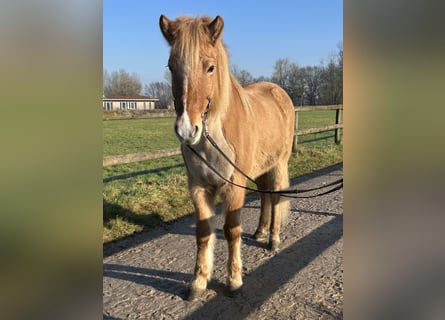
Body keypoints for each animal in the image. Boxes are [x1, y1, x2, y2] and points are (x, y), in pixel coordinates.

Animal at [160, 15, 294, 300]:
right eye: (171, 67)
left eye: (210, 68)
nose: (187, 130)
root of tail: (278, 91)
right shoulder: (199, 188)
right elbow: (203, 233)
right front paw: (198, 283)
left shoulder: (233, 187)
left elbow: (231, 231)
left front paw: (234, 280)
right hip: (260, 170)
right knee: (265, 196)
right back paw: (261, 231)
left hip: (278, 165)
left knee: (276, 197)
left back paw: (273, 239)